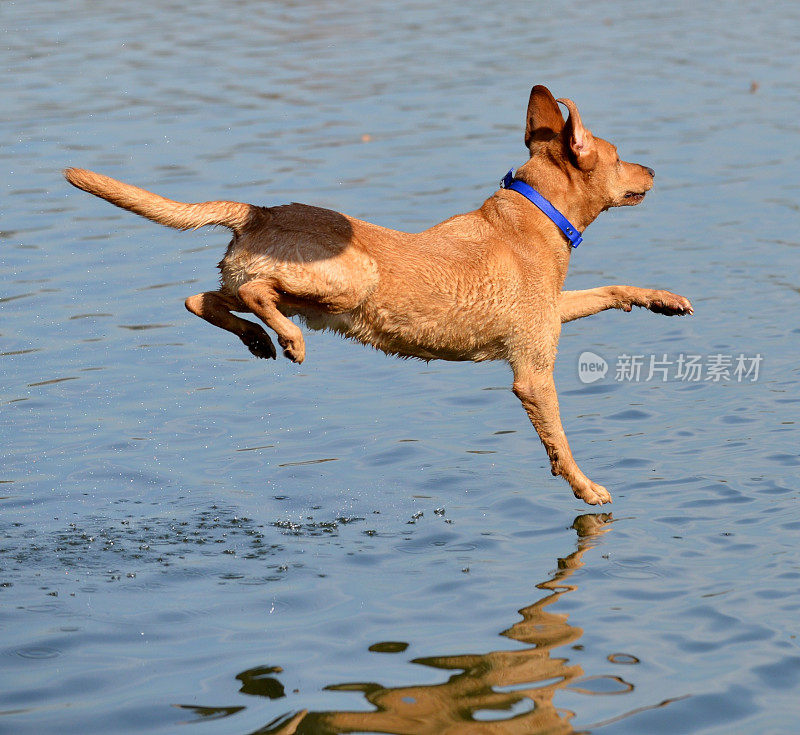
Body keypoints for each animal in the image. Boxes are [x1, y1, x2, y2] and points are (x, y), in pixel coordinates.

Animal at [64, 83, 688, 504]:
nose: (654, 170)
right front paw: (585, 487)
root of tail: (258, 211)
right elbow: (559, 439)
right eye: (618, 156)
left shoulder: (553, 312)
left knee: (203, 300)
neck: (535, 215)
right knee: (258, 294)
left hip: (273, 285)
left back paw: (257, 341)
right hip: (347, 280)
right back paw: (286, 341)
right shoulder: (532, 371)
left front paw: (663, 299)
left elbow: (609, 288)